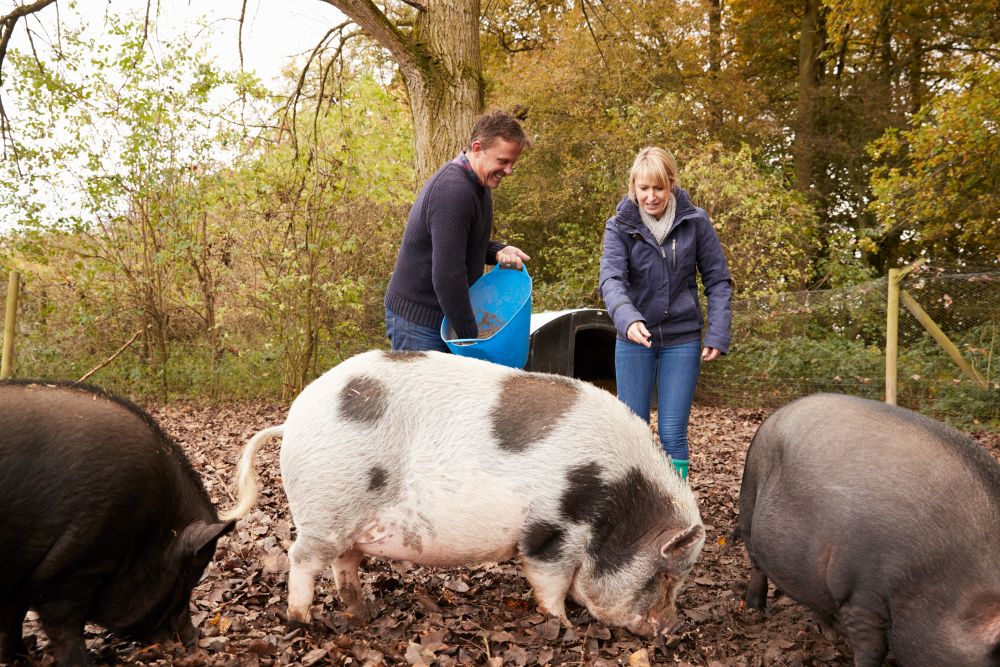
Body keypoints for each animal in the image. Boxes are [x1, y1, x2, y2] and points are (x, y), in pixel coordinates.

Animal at [0, 381, 235, 667]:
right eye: (189, 574)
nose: (195, 638)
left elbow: (12, 618)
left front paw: (18, 656)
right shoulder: (74, 566)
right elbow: (64, 629)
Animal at [222, 349, 705, 637]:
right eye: (666, 575)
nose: (671, 628)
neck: (618, 503)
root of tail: (292, 420)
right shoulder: (553, 530)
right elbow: (548, 581)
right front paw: (562, 623)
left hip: (348, 519)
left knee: (344, 564)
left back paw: (362, 613)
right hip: (327, 507)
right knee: (301, 559)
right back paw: (305, 621)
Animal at [738, 393, 1000, 667]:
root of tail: (776, 414)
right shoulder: (862, 594)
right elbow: (872, 649)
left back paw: (829, 633)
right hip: (748, 498)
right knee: (756, 563)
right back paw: (756, 609)